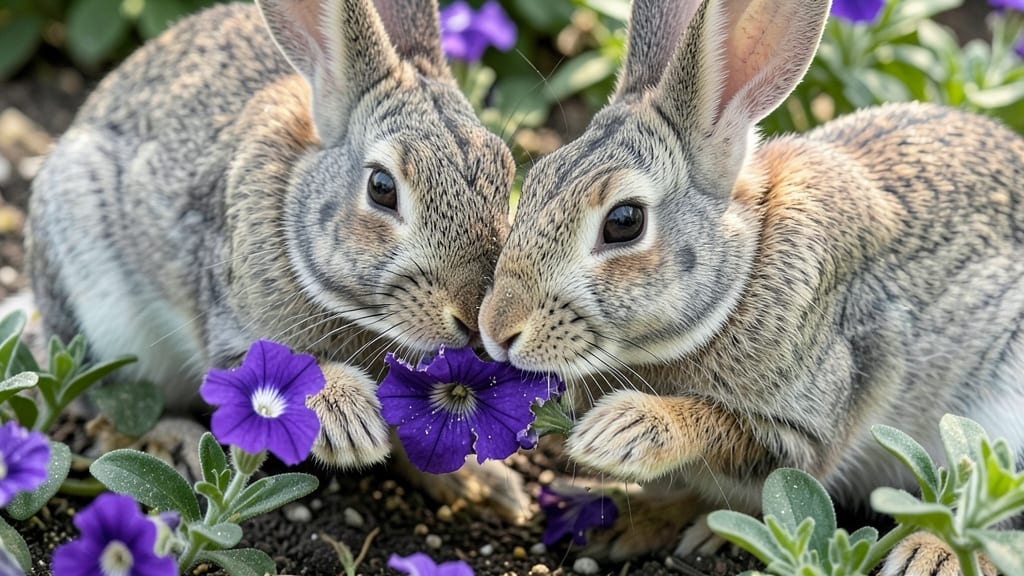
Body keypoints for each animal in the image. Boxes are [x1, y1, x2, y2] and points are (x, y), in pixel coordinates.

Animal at [27, 0, 525, 515]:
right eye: (382, 187)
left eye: (506, 174)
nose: (473, 315)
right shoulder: (230, 332)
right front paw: (349, 425)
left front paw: (480, 483)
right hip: (96, 307)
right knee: (107, 406)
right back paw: (176, 446)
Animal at [478, 0, 1024, 571]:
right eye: (534, 183)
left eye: (624, 222)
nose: (497, 328)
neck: (744, 272)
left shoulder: (809, 424)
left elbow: (725, 429)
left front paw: (621, 431)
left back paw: (931, 555)